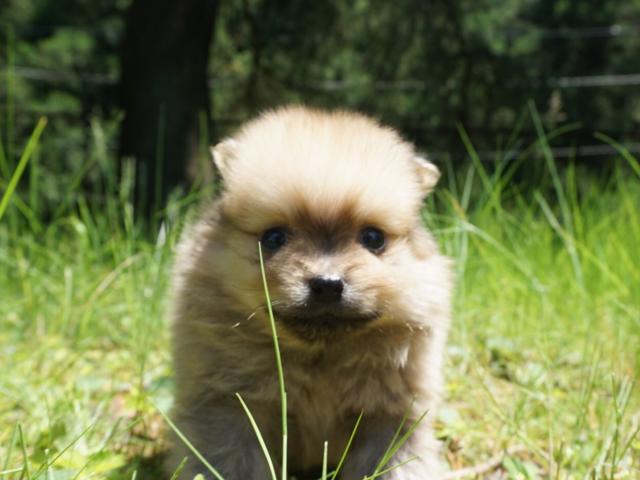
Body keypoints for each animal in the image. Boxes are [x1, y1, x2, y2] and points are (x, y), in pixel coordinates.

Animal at [167, 106, 452, 479]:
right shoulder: (228, 406)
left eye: (373, 238)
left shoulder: (389, 416)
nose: (328, 284)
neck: (321, 357)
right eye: (273, 238)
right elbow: (229, 460)